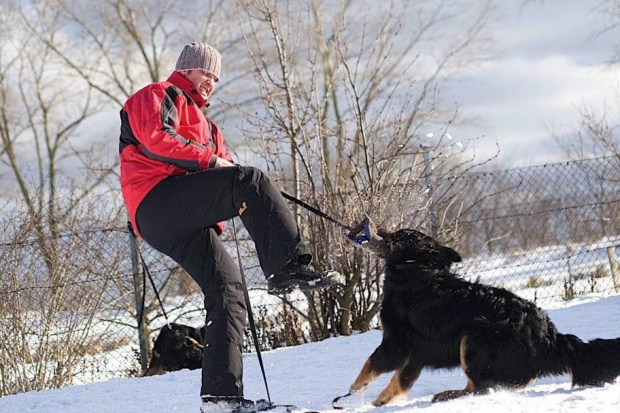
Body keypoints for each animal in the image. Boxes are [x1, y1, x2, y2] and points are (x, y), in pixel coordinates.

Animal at [344, 219, 620, 406]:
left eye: (402, 234)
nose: (378, 228)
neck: (416, 270)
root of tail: (549, 335)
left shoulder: (396, 345)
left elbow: (369, 365)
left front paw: (352, 391)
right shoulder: (416, 353)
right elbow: (400, 381)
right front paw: (380, 401)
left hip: (473, 339)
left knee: (481, 387)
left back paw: (447, 395)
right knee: (482, 385)